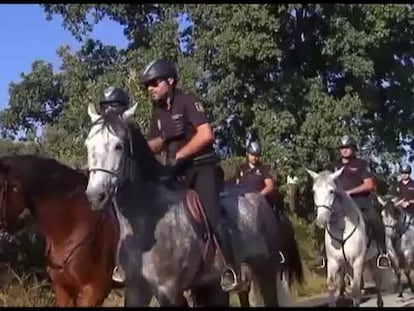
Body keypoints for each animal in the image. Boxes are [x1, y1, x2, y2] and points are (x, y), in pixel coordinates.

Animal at [85, 103, 298, 308]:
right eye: (88, 145)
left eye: (118, 146)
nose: (95, 195)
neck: (146, 220)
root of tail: (260, 199)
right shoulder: (137, 291)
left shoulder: (168, 292)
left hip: (265, 270)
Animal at [304, 168, 388, 308]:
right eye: (314, 191)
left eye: (331, 191)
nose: (321, 221)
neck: (342, 229)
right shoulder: (334, 262)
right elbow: (332, 286)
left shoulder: (357, 261)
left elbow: (356, 290)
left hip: (373, 259)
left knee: (377, 281)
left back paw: (380, 302)